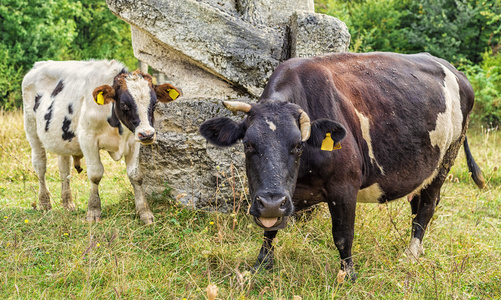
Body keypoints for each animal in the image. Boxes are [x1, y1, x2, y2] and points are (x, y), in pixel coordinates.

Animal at [23, 59, 181, 224]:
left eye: (155, 104)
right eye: (124, 105)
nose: (147, 134)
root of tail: (39, 65)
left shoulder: (134, 141)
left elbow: (135, 175)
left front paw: (144, 212)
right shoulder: (87, 138)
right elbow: (95, 174)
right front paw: (93, 211)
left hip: (62, 139)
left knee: (64, 169)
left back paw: (68, 204)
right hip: (32, 130)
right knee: (40, 166)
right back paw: (44, 203)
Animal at [199, 51, 484, 278]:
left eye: (298, 145)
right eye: (248, 145)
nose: (270, 202)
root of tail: (454, 70)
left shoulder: (344, 187)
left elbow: (343, 235)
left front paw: (348, 275)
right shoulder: (283, 196)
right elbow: (271, 230)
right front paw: (261, 265)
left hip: (446, 160)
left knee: (427, 206)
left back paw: (411, 254)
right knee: (417, 203)